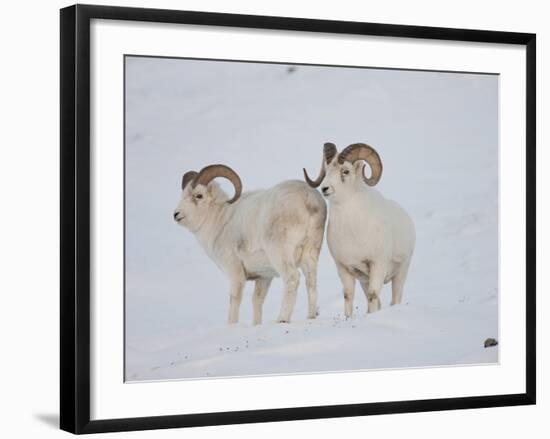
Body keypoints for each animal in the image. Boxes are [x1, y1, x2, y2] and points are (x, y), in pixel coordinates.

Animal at [175, 163, 326, 324]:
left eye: (199, 195)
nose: (176, 214)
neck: (219, 219)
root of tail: (308, 199)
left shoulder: (235, 271)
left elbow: (235, 300)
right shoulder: (264, 276)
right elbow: (257, 301)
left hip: (280, 255)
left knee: (292, 278)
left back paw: (282, 319)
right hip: (310, 253)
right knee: (311, 281)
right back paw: (311, 316)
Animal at [304, 144, 416, 316]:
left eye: (345, 171)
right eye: (327, 169)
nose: (325, 188)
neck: (352, 231)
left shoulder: (377, 264)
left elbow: (373, 295)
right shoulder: (344, 268)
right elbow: (348, 295)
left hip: (400, 273)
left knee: (395, 298)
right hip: (365, 280)